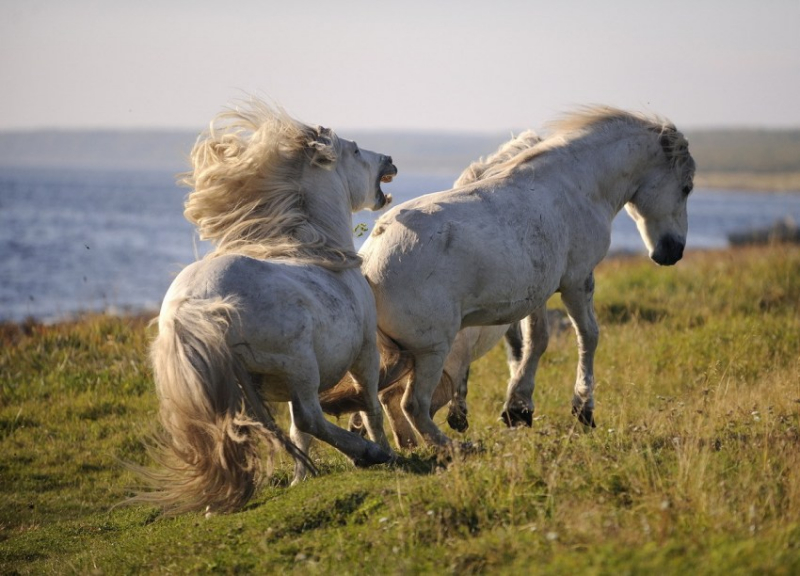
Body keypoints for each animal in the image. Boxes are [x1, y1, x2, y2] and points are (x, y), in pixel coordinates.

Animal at [133, 100, 398, 512]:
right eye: (355, 150)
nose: (389, 160)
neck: (321, 253)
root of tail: (193, 306)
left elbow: (298, 432)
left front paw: (300, 480)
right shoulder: (365, 353)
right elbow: (371, 407)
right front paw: (386, 451)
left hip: (242, 384)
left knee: (245, 430)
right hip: (300, 364)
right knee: (311, 418)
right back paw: (368, 454)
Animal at [332, 106, 692, 448]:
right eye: (687, 187)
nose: (672, 252)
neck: (577, 184)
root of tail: (371, 258)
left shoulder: (538, 292)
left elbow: (536, 342)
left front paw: (518, 407)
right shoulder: (577, 281)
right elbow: (588, 336)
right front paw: (582, 408)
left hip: (400, 356)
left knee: (378, 401)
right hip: (431, 351)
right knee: (412, 404)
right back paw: (452, 448)